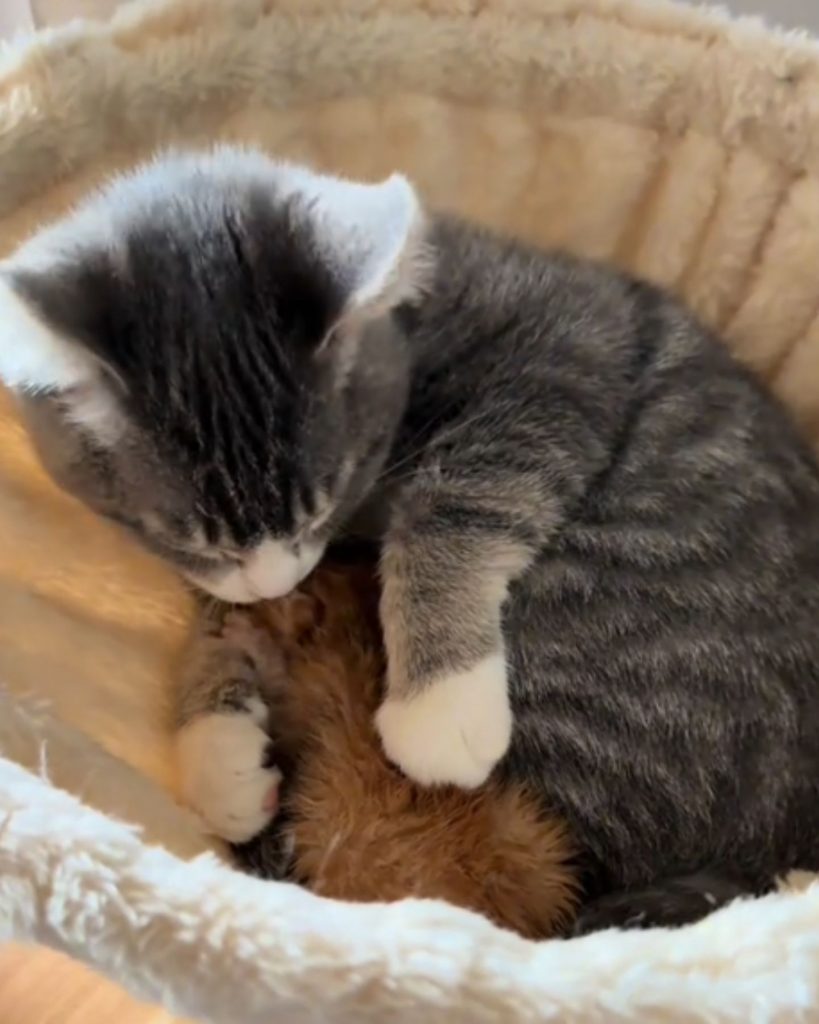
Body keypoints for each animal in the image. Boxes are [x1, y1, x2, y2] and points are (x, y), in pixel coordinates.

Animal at [1, 146, 818, 937]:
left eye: (329, 493)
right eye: (179, 534)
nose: (278, 574)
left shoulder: (566, 353)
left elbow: (463, 496)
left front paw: (439, 698)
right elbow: (229, 609)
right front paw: (214, 741)